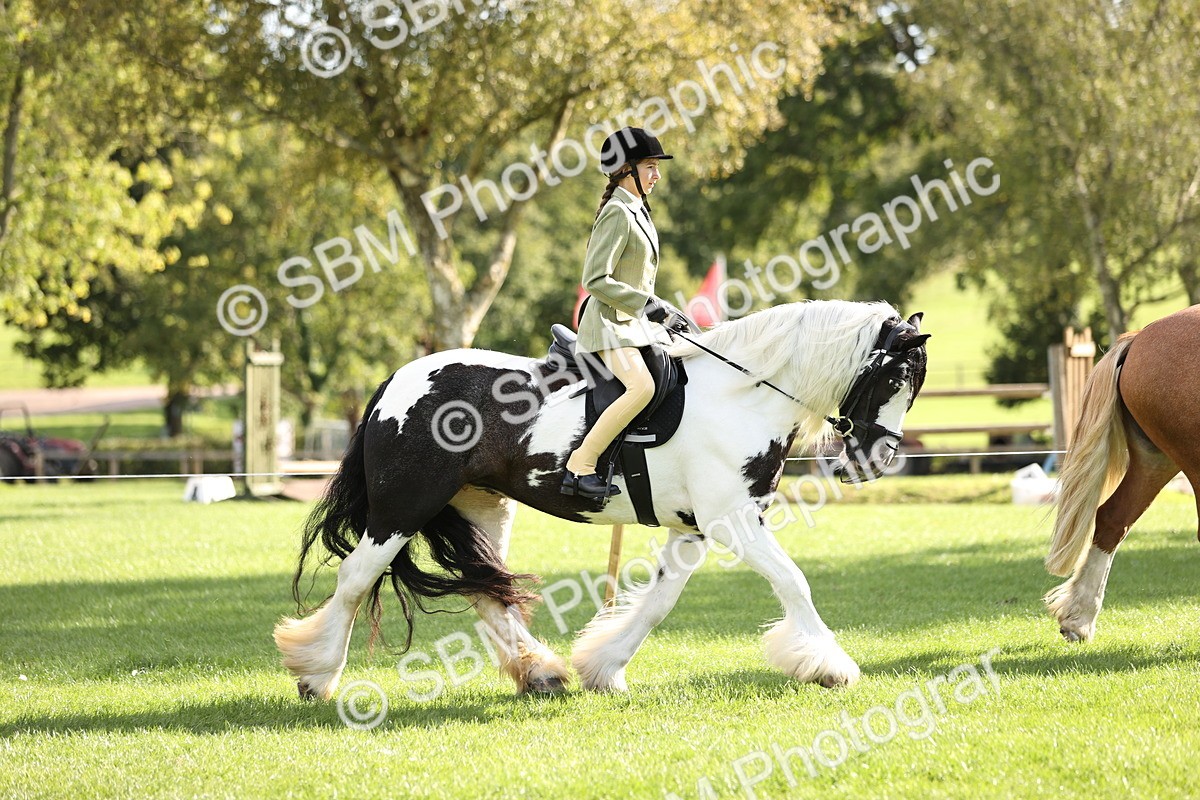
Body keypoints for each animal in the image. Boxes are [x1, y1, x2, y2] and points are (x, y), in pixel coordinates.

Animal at [274, 299, 930, 700]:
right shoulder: (733, 522)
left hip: (482, 506)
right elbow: (795, 582)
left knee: (487, 589)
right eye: (896, 379)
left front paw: (604, 668)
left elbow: (658, 603)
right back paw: (317, 675)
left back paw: (541, 673)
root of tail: (397, 381)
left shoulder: (693, 530)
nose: (875, 460)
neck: (740, 395)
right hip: (401, 511)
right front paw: (831, 665)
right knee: (356, 580)